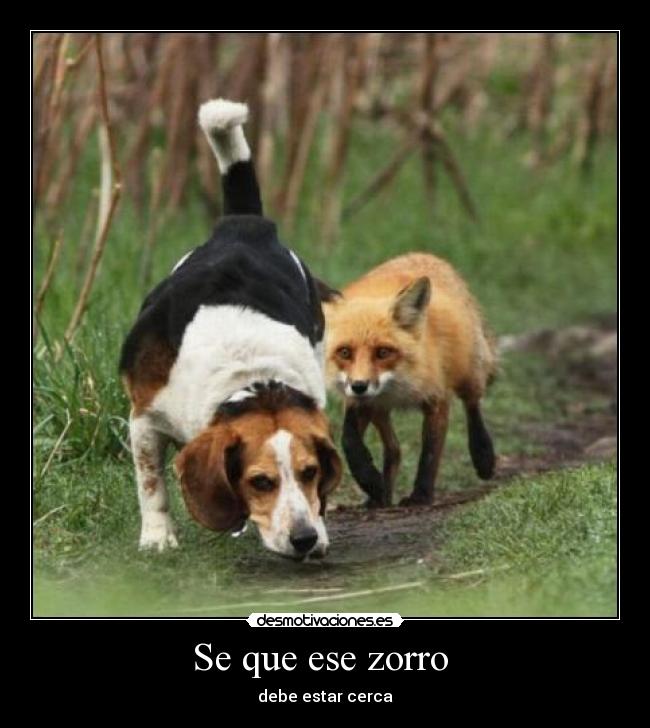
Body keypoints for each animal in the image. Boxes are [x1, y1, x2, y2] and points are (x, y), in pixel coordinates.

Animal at [324, 253, 497, 508]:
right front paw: (370, 481)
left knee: (473, 405)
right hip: (379, 411)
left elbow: (430, 453)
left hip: (468, 372)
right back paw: (380, 496)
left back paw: (483, 455)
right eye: (344, 352)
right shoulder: (361, 402)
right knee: (394, 449)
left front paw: (421, 495)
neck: (398, 386)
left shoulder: (436, 399)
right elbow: (349, 440)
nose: (359, 386)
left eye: (383, 352)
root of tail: (424, 254)